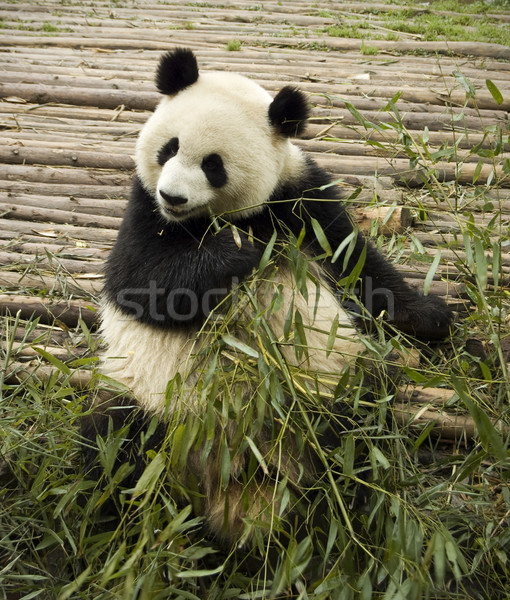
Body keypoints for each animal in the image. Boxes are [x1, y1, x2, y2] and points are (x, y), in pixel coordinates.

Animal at [80, 47, 454, 544]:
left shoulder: (301, 197)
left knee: (361, 430)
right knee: (112, 446)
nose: (173, 197)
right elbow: (142, 282)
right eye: (169, 148)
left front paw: (432, 315)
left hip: (338, 389)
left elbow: (359, 267)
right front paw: (243, 251)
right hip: (145, 400)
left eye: (213, 164)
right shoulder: (143, 208)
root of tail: (233, 482)